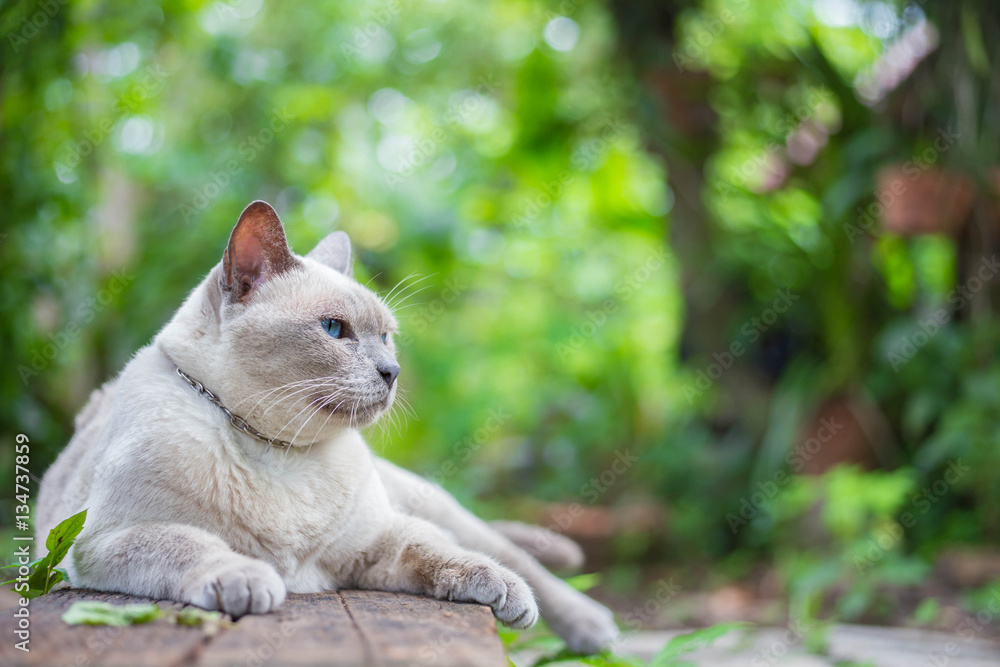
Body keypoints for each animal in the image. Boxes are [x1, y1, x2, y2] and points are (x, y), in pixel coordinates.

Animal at [37, 201, 616, 656]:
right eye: (335, 330)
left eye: (386, 336)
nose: (392, 371)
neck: (279, 451)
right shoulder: (105, 538)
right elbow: (191, 545)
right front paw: (249, 580)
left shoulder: (377, 542)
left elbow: (446, 556)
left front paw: (503, 592)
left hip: (431, 504)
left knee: (513, 556)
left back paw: (590, 629)